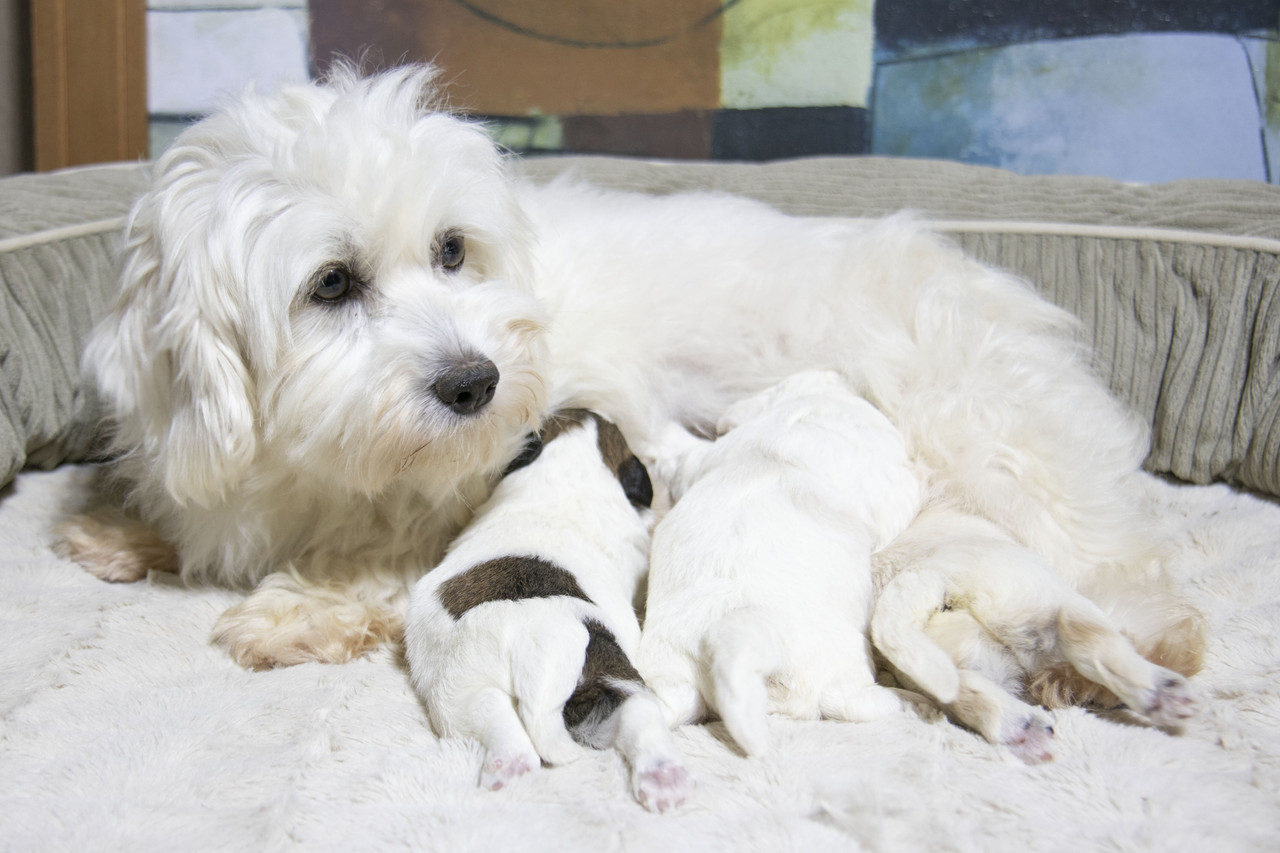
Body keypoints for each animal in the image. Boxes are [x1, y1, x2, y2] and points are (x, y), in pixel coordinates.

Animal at [407, 409, 696, 809]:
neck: (568, 469)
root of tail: (538, 653)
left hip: (460, 690)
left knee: (504, 731)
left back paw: (508, 772)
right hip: (614, 675)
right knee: (642, 719)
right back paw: (667, 781)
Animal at [640, 368, 921, 753]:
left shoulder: (706, 459)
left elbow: (687, 458)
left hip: (670, 673)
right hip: (841, 664)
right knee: (852, 701)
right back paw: (909, 700)